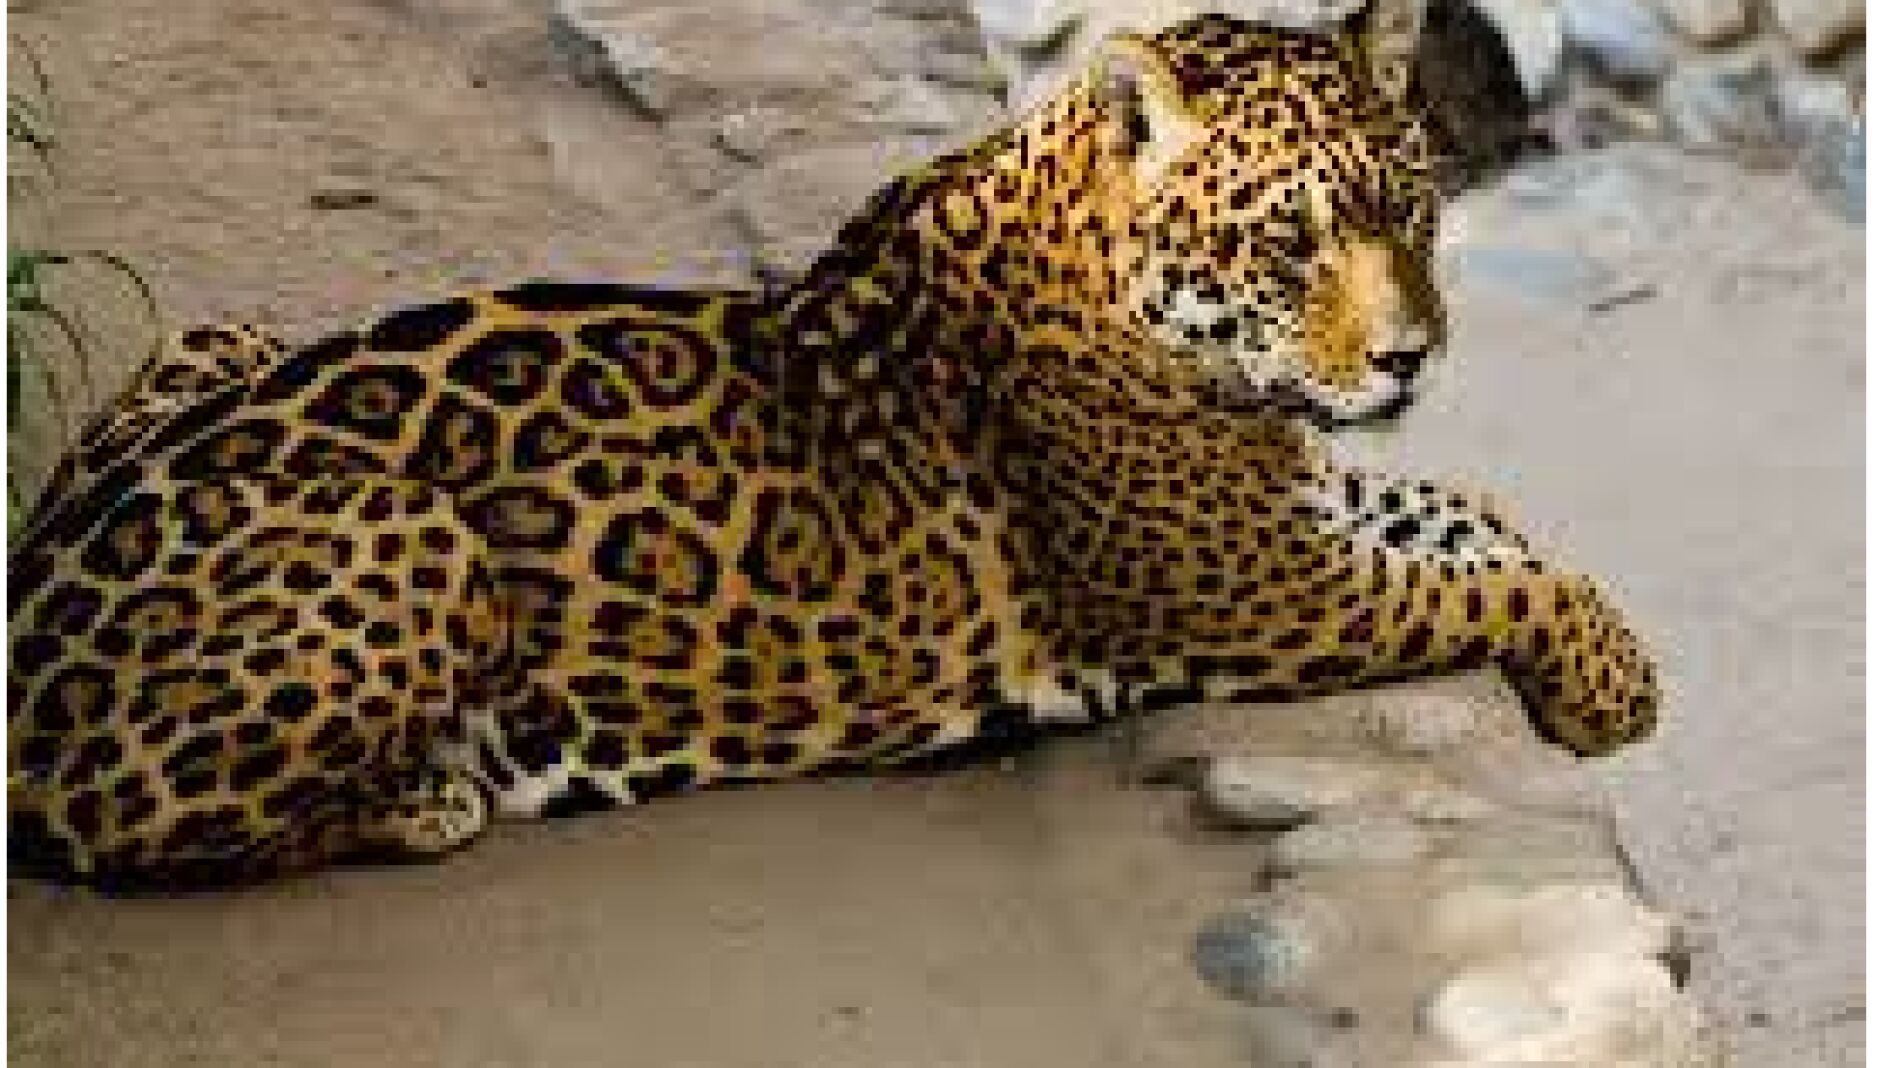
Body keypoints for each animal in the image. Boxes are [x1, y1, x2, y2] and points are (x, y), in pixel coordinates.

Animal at [7, 6, 1658, 889]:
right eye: (1291, 241)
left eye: (1413, 207)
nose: (1409, 356)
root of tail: (30, 608)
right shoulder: (1263, 592)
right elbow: (1490, 579)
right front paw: (1614, 693)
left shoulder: (1296, 513)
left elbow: (1467, 509)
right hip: (418, 536)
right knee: (141, 829)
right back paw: (436, 791)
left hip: (213, 331)